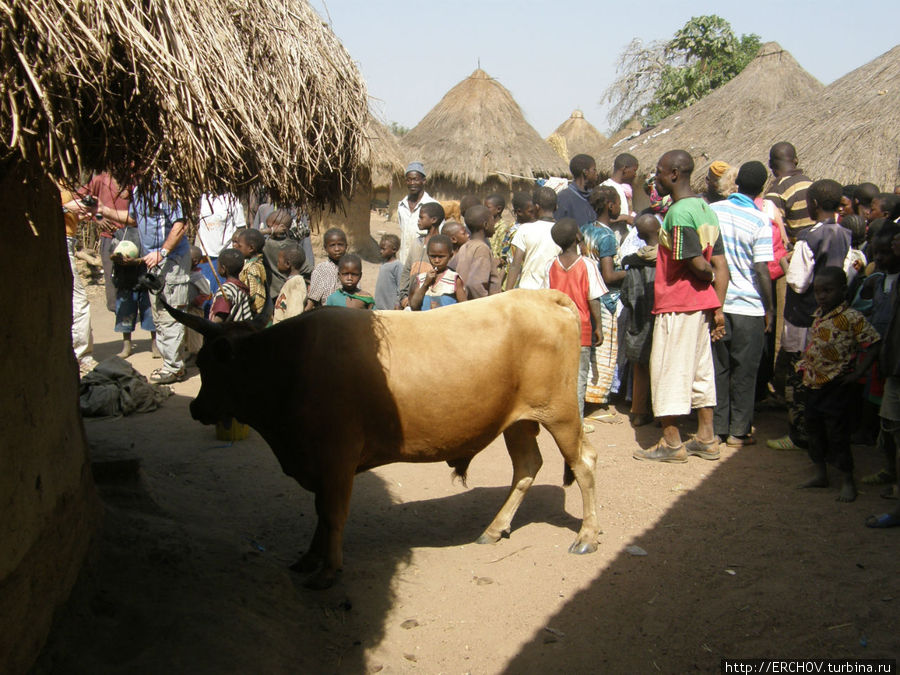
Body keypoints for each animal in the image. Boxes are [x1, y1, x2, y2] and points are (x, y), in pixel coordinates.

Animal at [171, 290, 604, 588]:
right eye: (201, 362)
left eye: (213, 365)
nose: (196, 408)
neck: (288, 364)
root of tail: (541, 294)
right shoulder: (321, 466)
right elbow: (320, 514)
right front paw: (310, 557)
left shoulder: (337, 461)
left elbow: (332, 515)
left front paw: (328, 570)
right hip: (517, 421)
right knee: (527, 467)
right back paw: (494, 529)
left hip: (561, 413)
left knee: (584, 463)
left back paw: (586, 536)